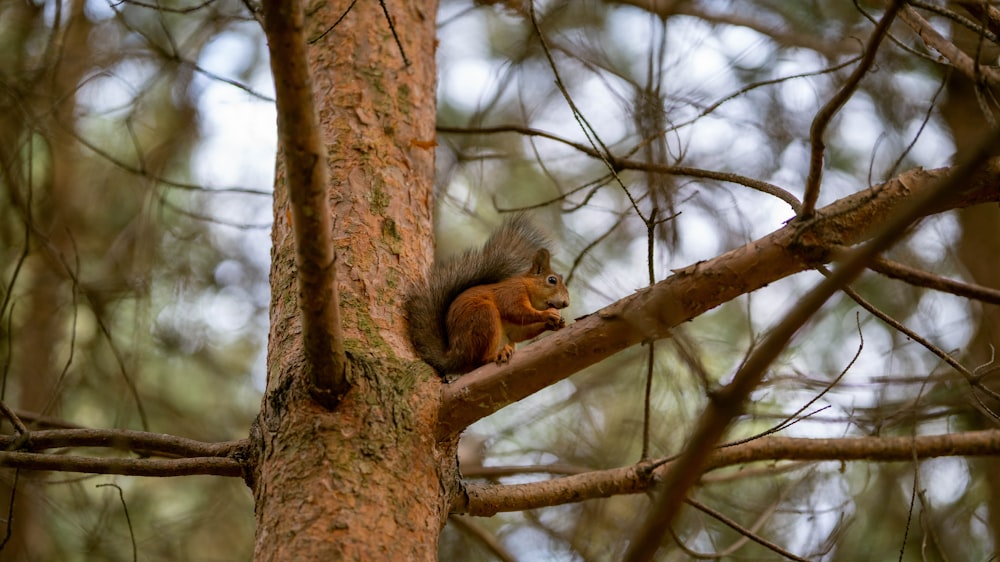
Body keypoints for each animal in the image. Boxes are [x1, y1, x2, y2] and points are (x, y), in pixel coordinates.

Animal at [404, 214, 572, 376]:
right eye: (552, 280)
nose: (566, 303)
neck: (527, 287)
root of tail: (455, 358)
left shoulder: (513, 329)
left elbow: (519, 332)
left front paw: (557, 323)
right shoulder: (511, 292)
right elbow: (516, 310)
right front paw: (548, 315)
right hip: (483, 316)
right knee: (478, 362)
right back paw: (495, 355)